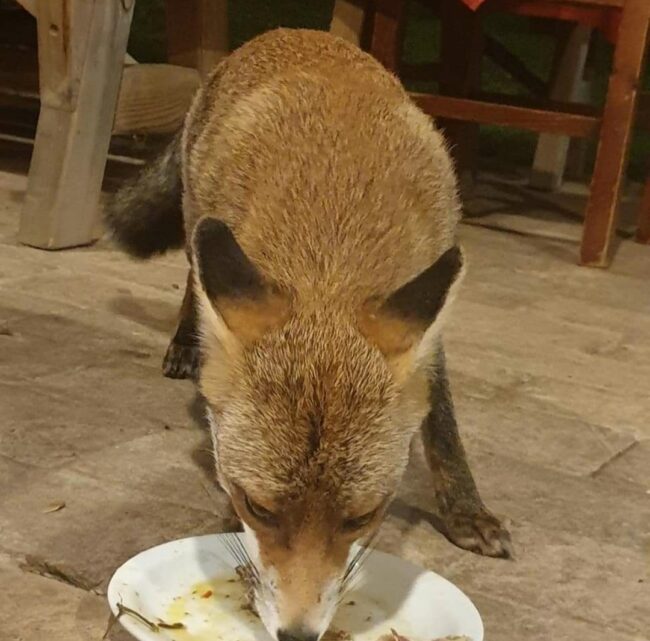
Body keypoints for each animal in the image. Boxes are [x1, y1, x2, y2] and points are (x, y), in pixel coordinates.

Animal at [105, 28, 511, 641]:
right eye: (257, 507)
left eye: (363, 516)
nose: (296, 633)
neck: (331, 246)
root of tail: (292, 33)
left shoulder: (425, 323)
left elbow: (443, 427)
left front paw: (466, 509)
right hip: (198, 217)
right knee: (192, 278)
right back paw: (183, 343)